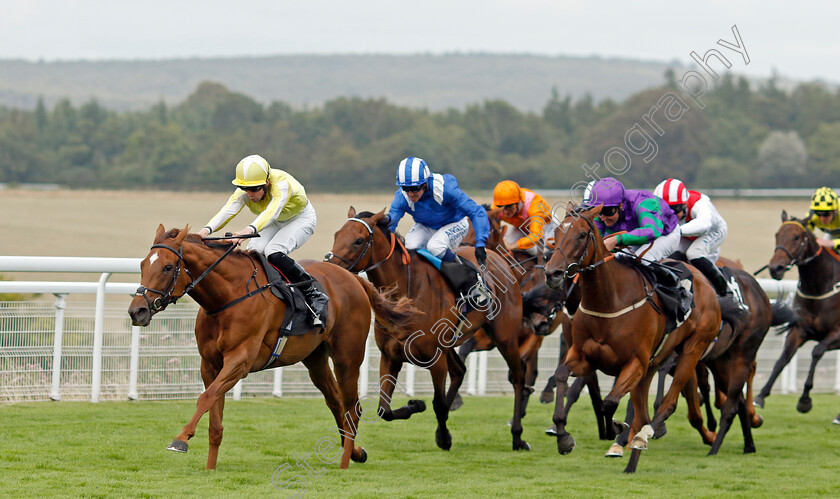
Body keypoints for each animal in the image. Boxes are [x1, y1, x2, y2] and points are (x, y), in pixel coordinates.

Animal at [127, 225, 416, 470]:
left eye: (167, 267)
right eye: (142, 264)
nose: (137, 311)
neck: (227, 297)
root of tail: (355, 280)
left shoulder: (240, 360)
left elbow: (205, 398)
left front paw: (181, 439)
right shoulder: (210, 364)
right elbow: (214, 417)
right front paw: (210, 468)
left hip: (348, 357)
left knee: (351, 407)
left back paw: (346, 461)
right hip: (315, 358)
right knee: (335, 401)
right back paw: (355, 452)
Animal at [330, 208, 532, 454]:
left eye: (358, 240)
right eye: (337, 235)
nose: (330, 266)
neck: (406, 291)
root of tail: (498, 259)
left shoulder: (435, 359)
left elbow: (438, 403)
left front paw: (444, 437)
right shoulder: (390, 356)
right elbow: (384, 410)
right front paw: (416, 405)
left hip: (505, 336)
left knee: (518, 377)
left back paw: (518, 436)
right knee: (460, 371)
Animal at [548, 205, 720, 474]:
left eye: (582, 234)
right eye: (556, 232)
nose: (552, 273)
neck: (609, 300)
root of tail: (705, 281)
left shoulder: (634, 363)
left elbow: (609, 403)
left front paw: (617, 428)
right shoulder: (585, 358)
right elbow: (561, 375)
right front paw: (564, 438)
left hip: (693, 348)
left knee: (667, 404)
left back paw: (641, 437)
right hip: (652, 366)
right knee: (643, 413)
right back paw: (632, 459)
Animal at [756, 211, 840, 418]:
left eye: (796, 237)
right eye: (777, 235)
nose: (775, 268)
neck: (818, 287)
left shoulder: (837, 334)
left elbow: (816, 351)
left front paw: (804, 400)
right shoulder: (799, 331)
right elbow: (782, 359)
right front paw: (761, 396)